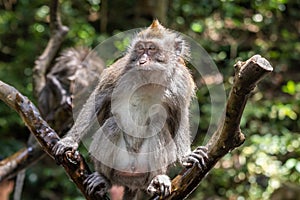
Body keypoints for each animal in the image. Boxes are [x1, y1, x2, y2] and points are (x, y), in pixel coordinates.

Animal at [52, 19, 209, 198]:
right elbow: (98, 97)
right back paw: (104, 178)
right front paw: (69, 141)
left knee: (157, 127)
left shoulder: (181, 81)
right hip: (119, 168)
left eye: (152, 48)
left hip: (143, 173)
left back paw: (157, 178)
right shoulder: (121, 70)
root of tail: (132, 179)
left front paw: (186, 156)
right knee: (112, 125)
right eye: (140, 48)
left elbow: (180, 113)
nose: (142, 60)